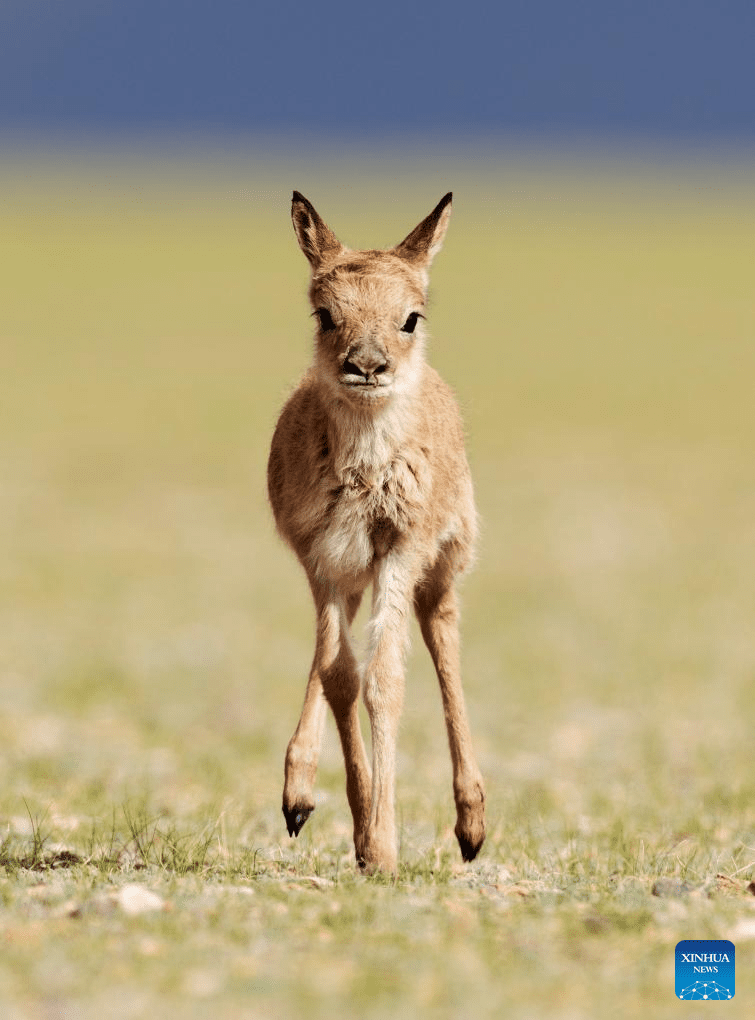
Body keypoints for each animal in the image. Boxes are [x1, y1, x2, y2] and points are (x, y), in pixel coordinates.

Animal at [269, 189, 485, 869]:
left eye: (411, 317)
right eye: (324, 314)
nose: (367, 365)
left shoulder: (401, 549)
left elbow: (385, 680)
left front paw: (384, 848)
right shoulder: (322, 558)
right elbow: (340, 675)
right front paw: (362, 832)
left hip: (441, 567)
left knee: (443, 636)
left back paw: (472, 825)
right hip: (349, 575)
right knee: (331, 661)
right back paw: (298, 795)